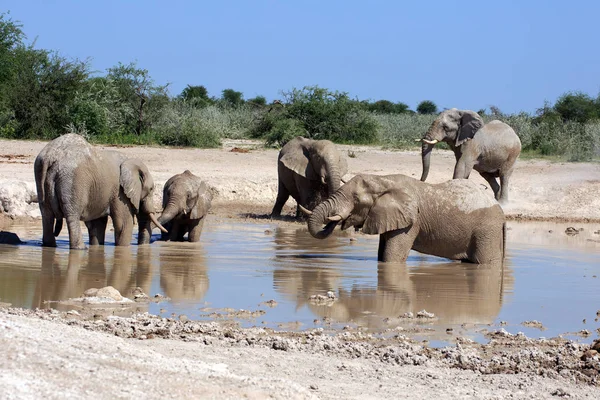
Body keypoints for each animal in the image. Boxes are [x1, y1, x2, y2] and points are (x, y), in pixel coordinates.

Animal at [34, 133, 168, 248]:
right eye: (151, 189)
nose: (141, 246)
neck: (131, 161)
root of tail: (51, 156)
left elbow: (97, 225)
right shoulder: (119, 193)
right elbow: (123, 224)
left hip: (40, 172)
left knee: (46, 214)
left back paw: (49, 246)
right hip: (73, 179)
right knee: (72, 215)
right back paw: (81, 248)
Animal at [304, 173, 506, 264]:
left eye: (356, 200)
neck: (384, 180)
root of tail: (501, 212)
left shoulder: (410, 223)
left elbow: (392, 257)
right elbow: (382, 254)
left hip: (486, 230)